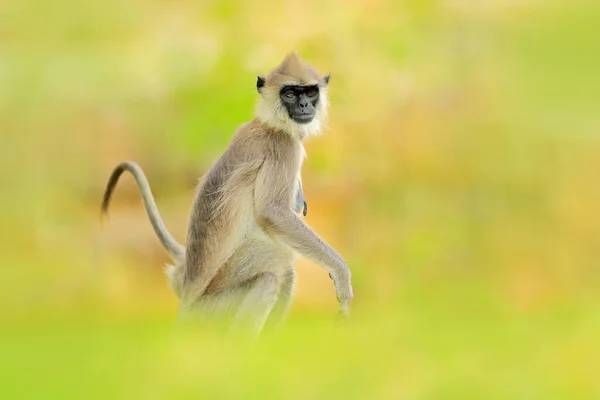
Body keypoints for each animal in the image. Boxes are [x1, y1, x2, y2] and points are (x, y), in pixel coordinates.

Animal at [99, 51, 352, 336]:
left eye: (310, 92)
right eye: (289, 94)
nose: (304, 106)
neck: (268, 124)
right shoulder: (283, 147)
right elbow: (273, 213)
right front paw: (341, 275)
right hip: (211, 312)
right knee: (271, 273)